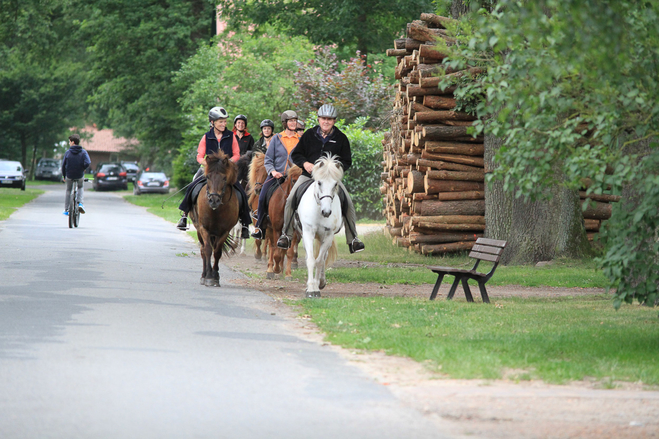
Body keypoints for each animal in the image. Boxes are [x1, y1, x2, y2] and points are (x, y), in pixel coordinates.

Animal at [191, 151, 240, 288]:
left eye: (224, 178)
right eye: (208, 177)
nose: (214, 200)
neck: (216, 210)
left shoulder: (225, 231)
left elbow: (217, 252)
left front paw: (215, 276)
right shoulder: (204, 229)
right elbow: (207, 250)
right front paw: (208, 277)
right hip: (199, 231)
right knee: (203, 250)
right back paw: (203, 275)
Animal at [296, 155, 342, 300]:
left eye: (335, 184)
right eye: (319, 183)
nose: (326, 212)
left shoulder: (328, 236)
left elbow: (320, 261)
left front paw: (317, 286)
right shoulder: (308, 233)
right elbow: (311, 260)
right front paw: (311, 289)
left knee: (324, 256)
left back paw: (321, 281)